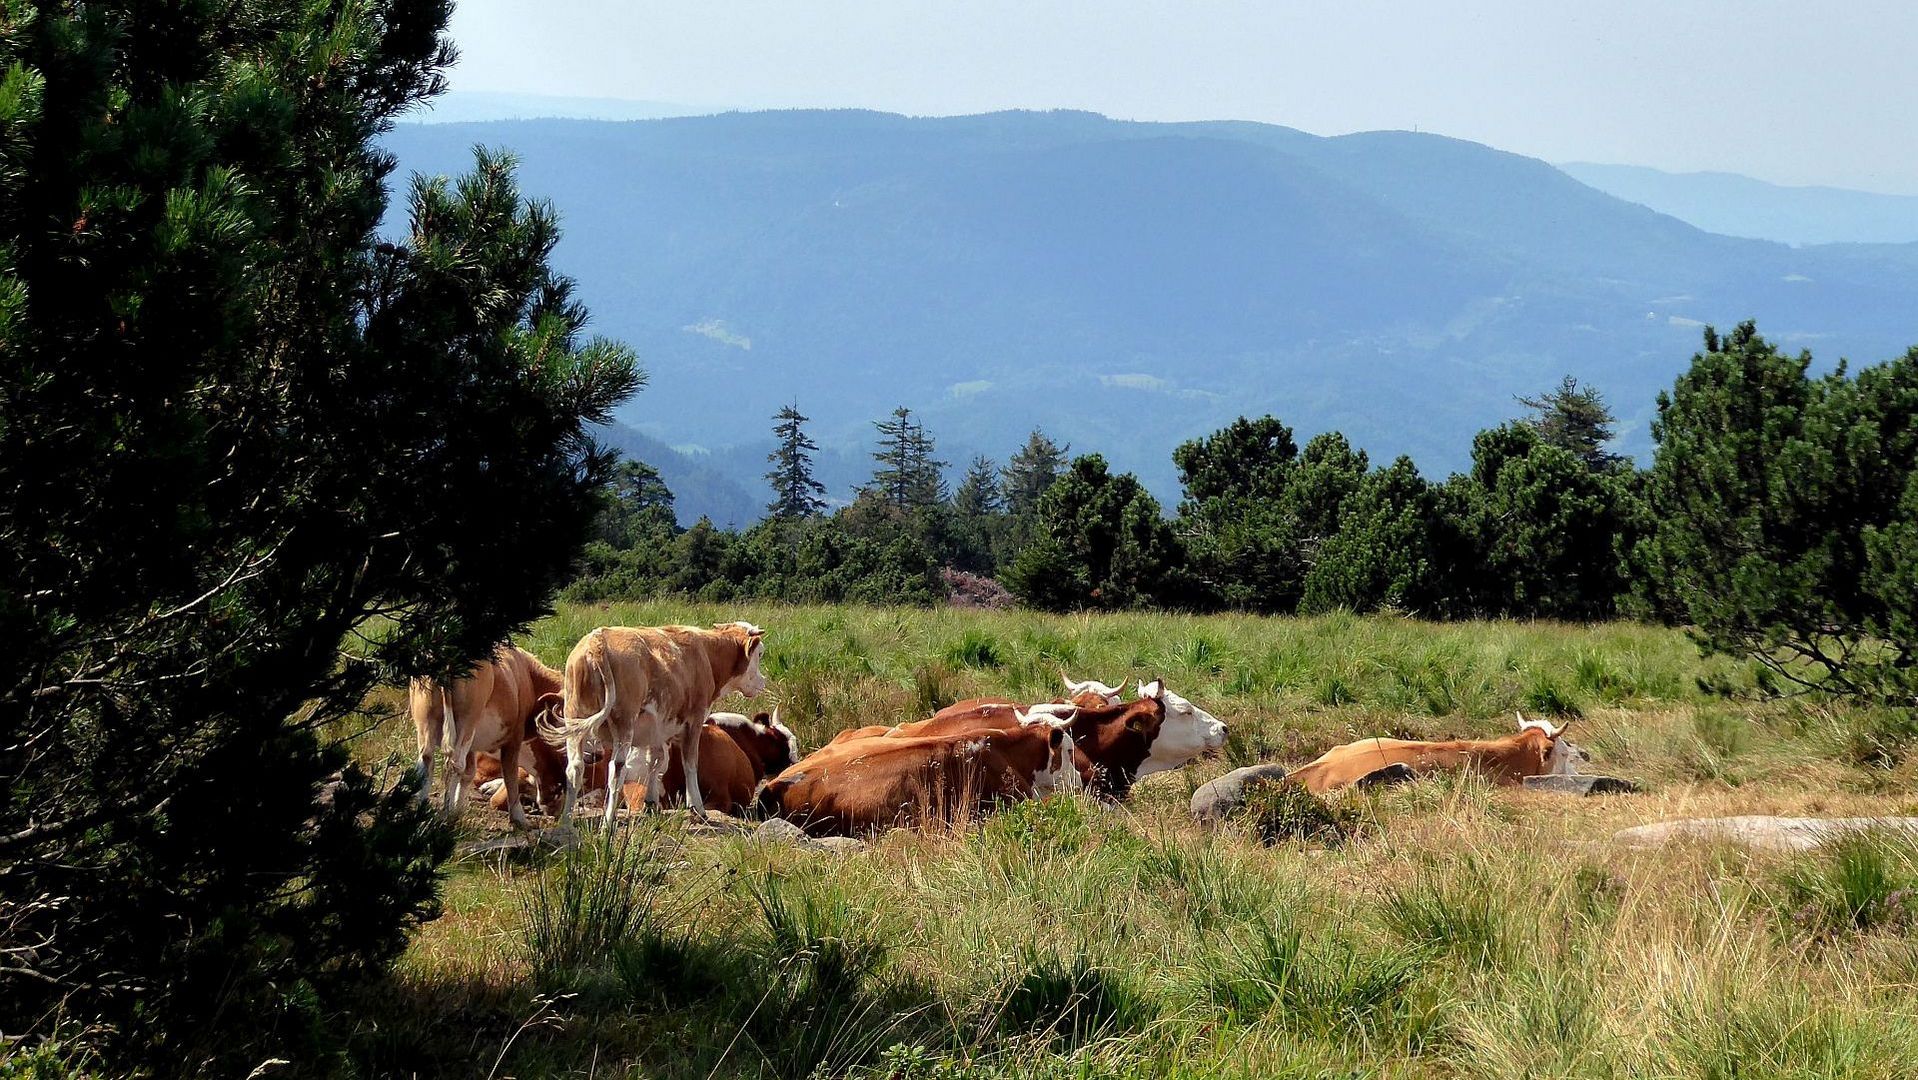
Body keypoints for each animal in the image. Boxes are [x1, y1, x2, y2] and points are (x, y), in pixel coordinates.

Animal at [404, 648, 556, 832]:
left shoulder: (473, 745)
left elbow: (469, 773)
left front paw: (458, 808)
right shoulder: (514, 737)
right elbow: (510, 775)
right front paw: (519, 818)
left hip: (426, 720)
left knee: (426, 762)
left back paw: (421, 814)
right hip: (467, 720)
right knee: (455, 763)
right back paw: (446, 815)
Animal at [540, 621, 763, 832]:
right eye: (760, 653)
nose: (763, 681)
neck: (706, 653)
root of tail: (597, 640)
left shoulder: (657, 728)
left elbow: (655, 762)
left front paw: (651, 802)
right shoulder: (695, 720)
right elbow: (690, 764)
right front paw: (697, 809)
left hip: (574, 721)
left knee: (574, 769)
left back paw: (566, 823)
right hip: (624, 724)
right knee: (616, 770)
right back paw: (607, 823)